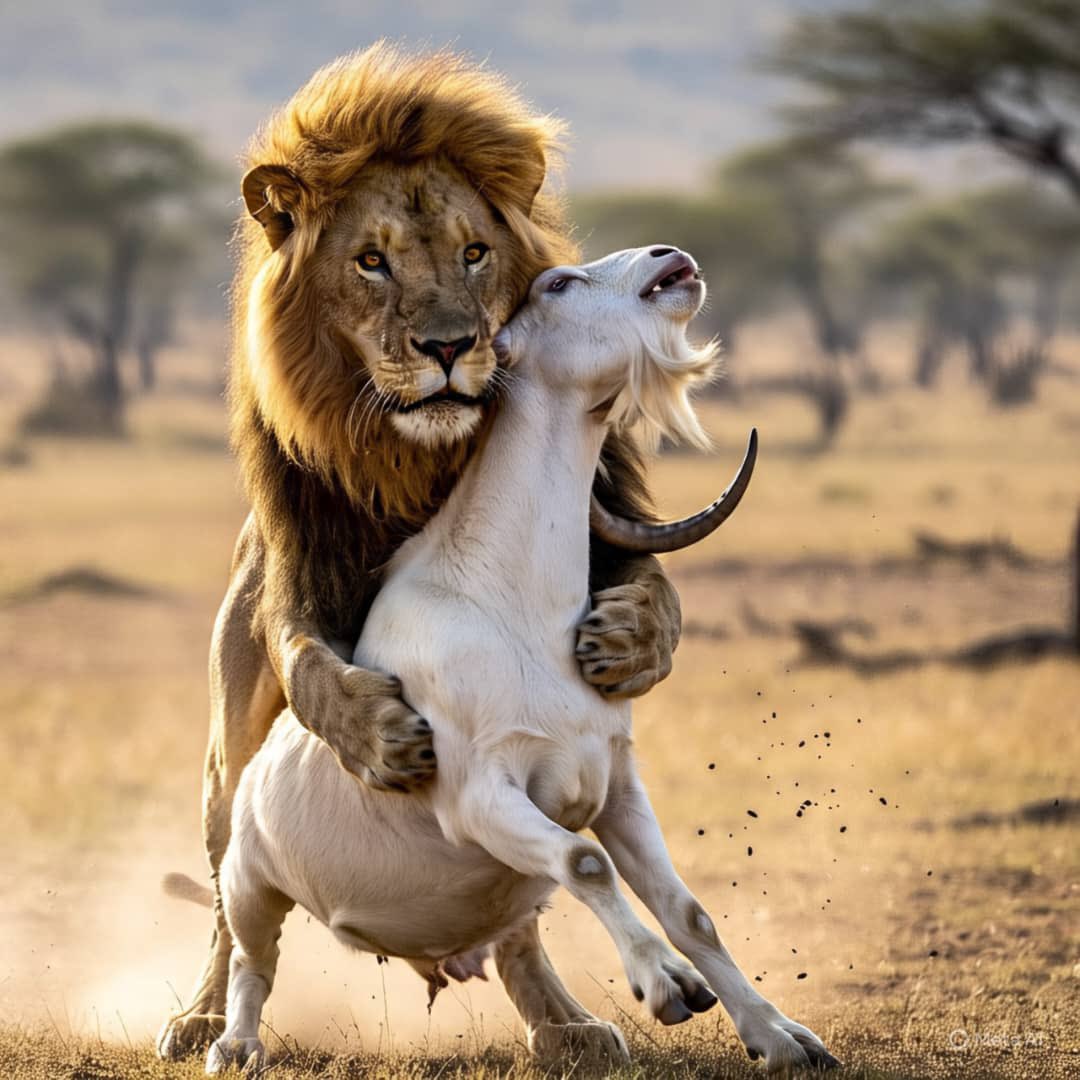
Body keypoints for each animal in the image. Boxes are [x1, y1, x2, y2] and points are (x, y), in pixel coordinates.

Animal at [157, 43, 683, 1061]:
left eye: (475, 254)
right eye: (372, 262)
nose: (450, 346)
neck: (418, 464)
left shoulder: (607, 530)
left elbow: (656, 596)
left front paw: (627, 642)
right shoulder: (303, 580)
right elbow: (316, 667)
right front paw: (385, 737)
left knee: (516, 912)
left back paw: (564, 1024)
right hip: (229, 754)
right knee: (231, 899)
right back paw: (205, 1017)